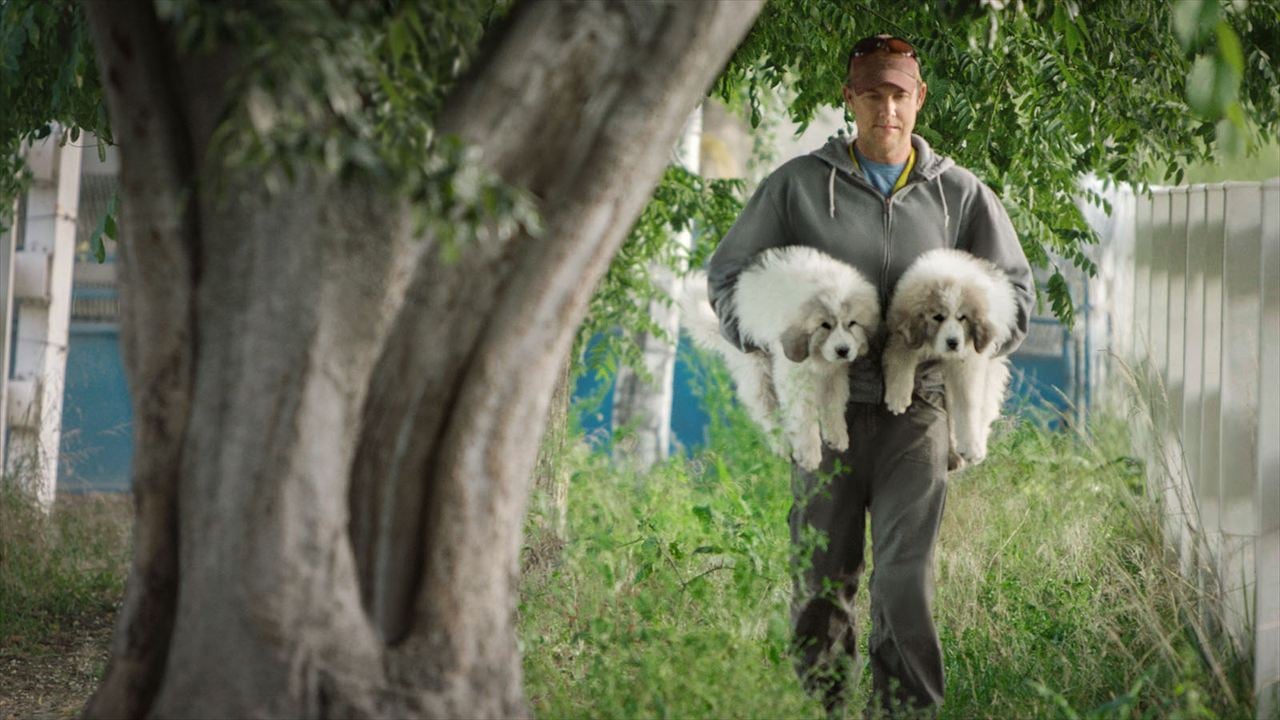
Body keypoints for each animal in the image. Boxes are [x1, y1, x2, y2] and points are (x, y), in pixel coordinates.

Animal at [680, 244, 880, 471]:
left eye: (852, 323)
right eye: (825, 325)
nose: (843, 350)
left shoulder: (834, 374)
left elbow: (833, 403)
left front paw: (837, 436)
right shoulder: (794, 375)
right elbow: (803, 416)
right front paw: (810, 455)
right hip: (757, 368)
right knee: (768, 414)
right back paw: (783, 446)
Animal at [885, 245, 1013, 461]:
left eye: (963, 318)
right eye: (938, 317)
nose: (953, 342)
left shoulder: (969, 361)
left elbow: (968, 402)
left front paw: (970, 446)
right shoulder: (904, 336)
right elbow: (900, 361)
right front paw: (898, 396)